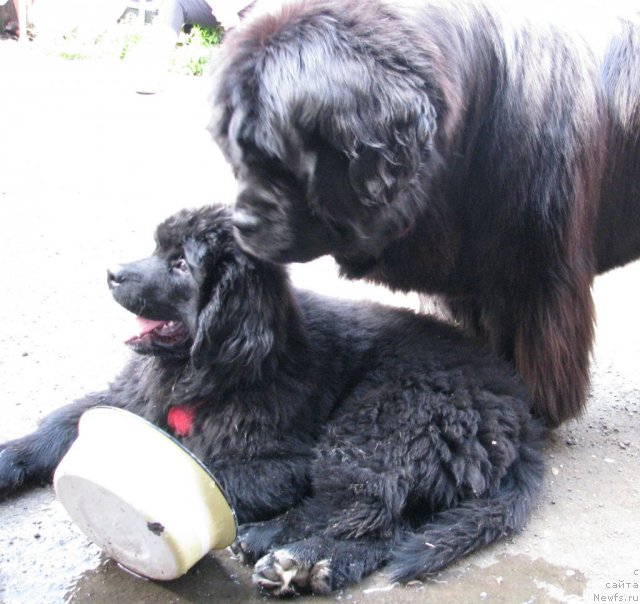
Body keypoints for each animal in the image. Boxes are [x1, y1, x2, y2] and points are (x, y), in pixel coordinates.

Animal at [0, 206, 544, 596]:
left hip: (380, 422)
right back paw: (314, 565)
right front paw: (9, 459)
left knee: (363, 506)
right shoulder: (132, 398)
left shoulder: (283, 457)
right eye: (157, 248)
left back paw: (287, 553)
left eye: (181, 264)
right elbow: (58, 425)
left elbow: (216, 476)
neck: (210, 370)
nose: (112, 272)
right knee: (396, 524)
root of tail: (518, 414)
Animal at [212, 0, 640, 430]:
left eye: (278, 159)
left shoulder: (539, 280)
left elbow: (536, 346)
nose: (241, 223)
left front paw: (535, 406)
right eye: (237, 156)